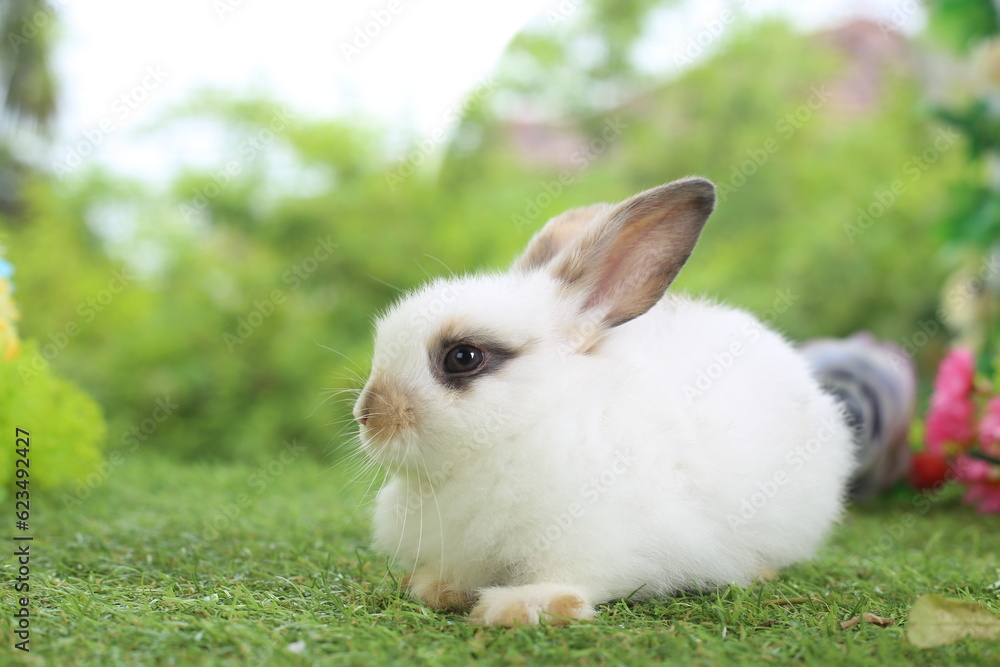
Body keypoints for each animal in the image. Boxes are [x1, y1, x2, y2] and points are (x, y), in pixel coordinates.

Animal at [353, 177, 856, 626]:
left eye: (463, 357)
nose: (368, 415)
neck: (530, 423)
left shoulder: (590, 540)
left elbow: (571, 578)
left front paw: (519, 607)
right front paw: (437, 589)